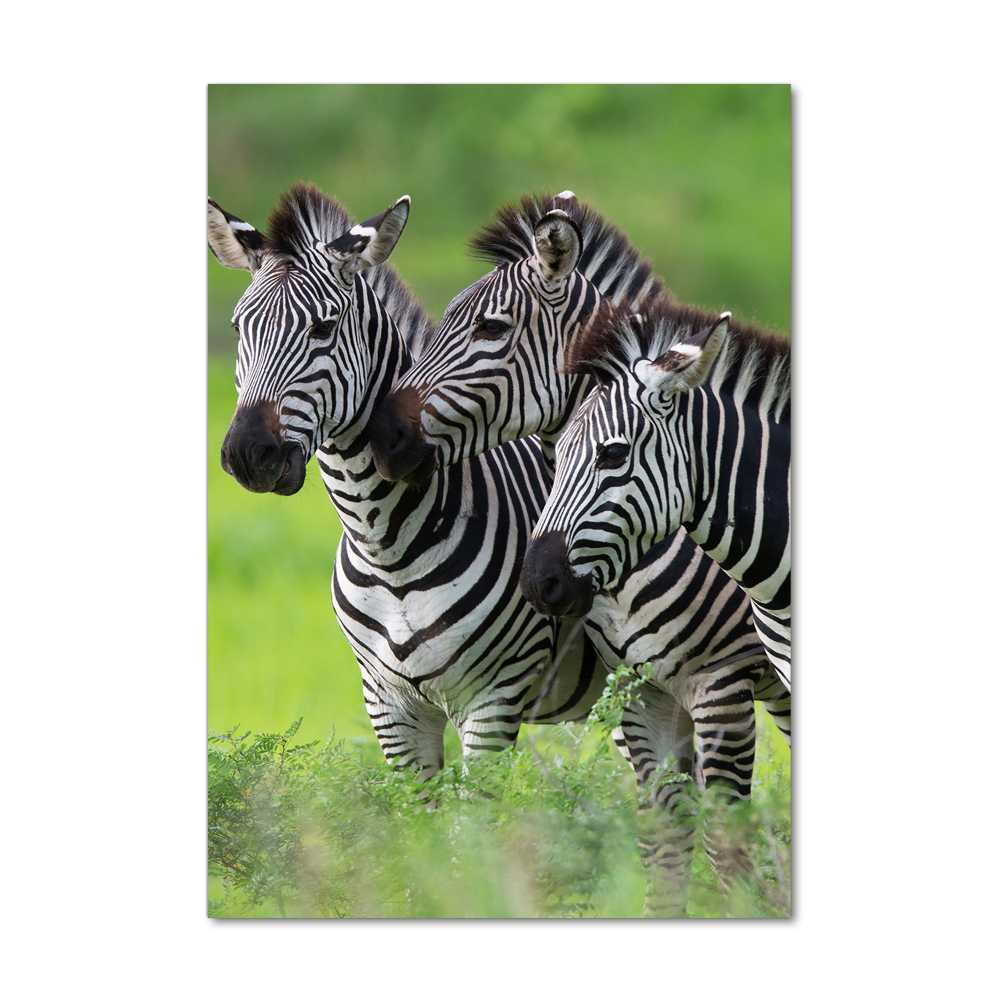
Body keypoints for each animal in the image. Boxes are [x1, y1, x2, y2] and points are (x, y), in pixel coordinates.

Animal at [206, 182, 604, 780]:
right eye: (237, 329)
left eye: (324, 328)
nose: (248, 454)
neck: (384, 545)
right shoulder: (389, 707)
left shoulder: (493, 700)